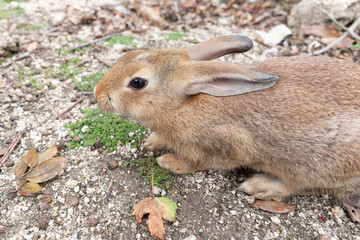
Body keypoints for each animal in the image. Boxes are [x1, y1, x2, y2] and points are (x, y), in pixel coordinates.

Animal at [95, 34, 360, 200]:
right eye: (130, 53)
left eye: (137, 83)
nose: (98, 94)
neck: (179, 106)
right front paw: (152, 142)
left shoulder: (226, 145)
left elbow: (200, 162)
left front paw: (170, 162)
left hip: (318, 165)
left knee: (305, 186)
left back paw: (259, 186)